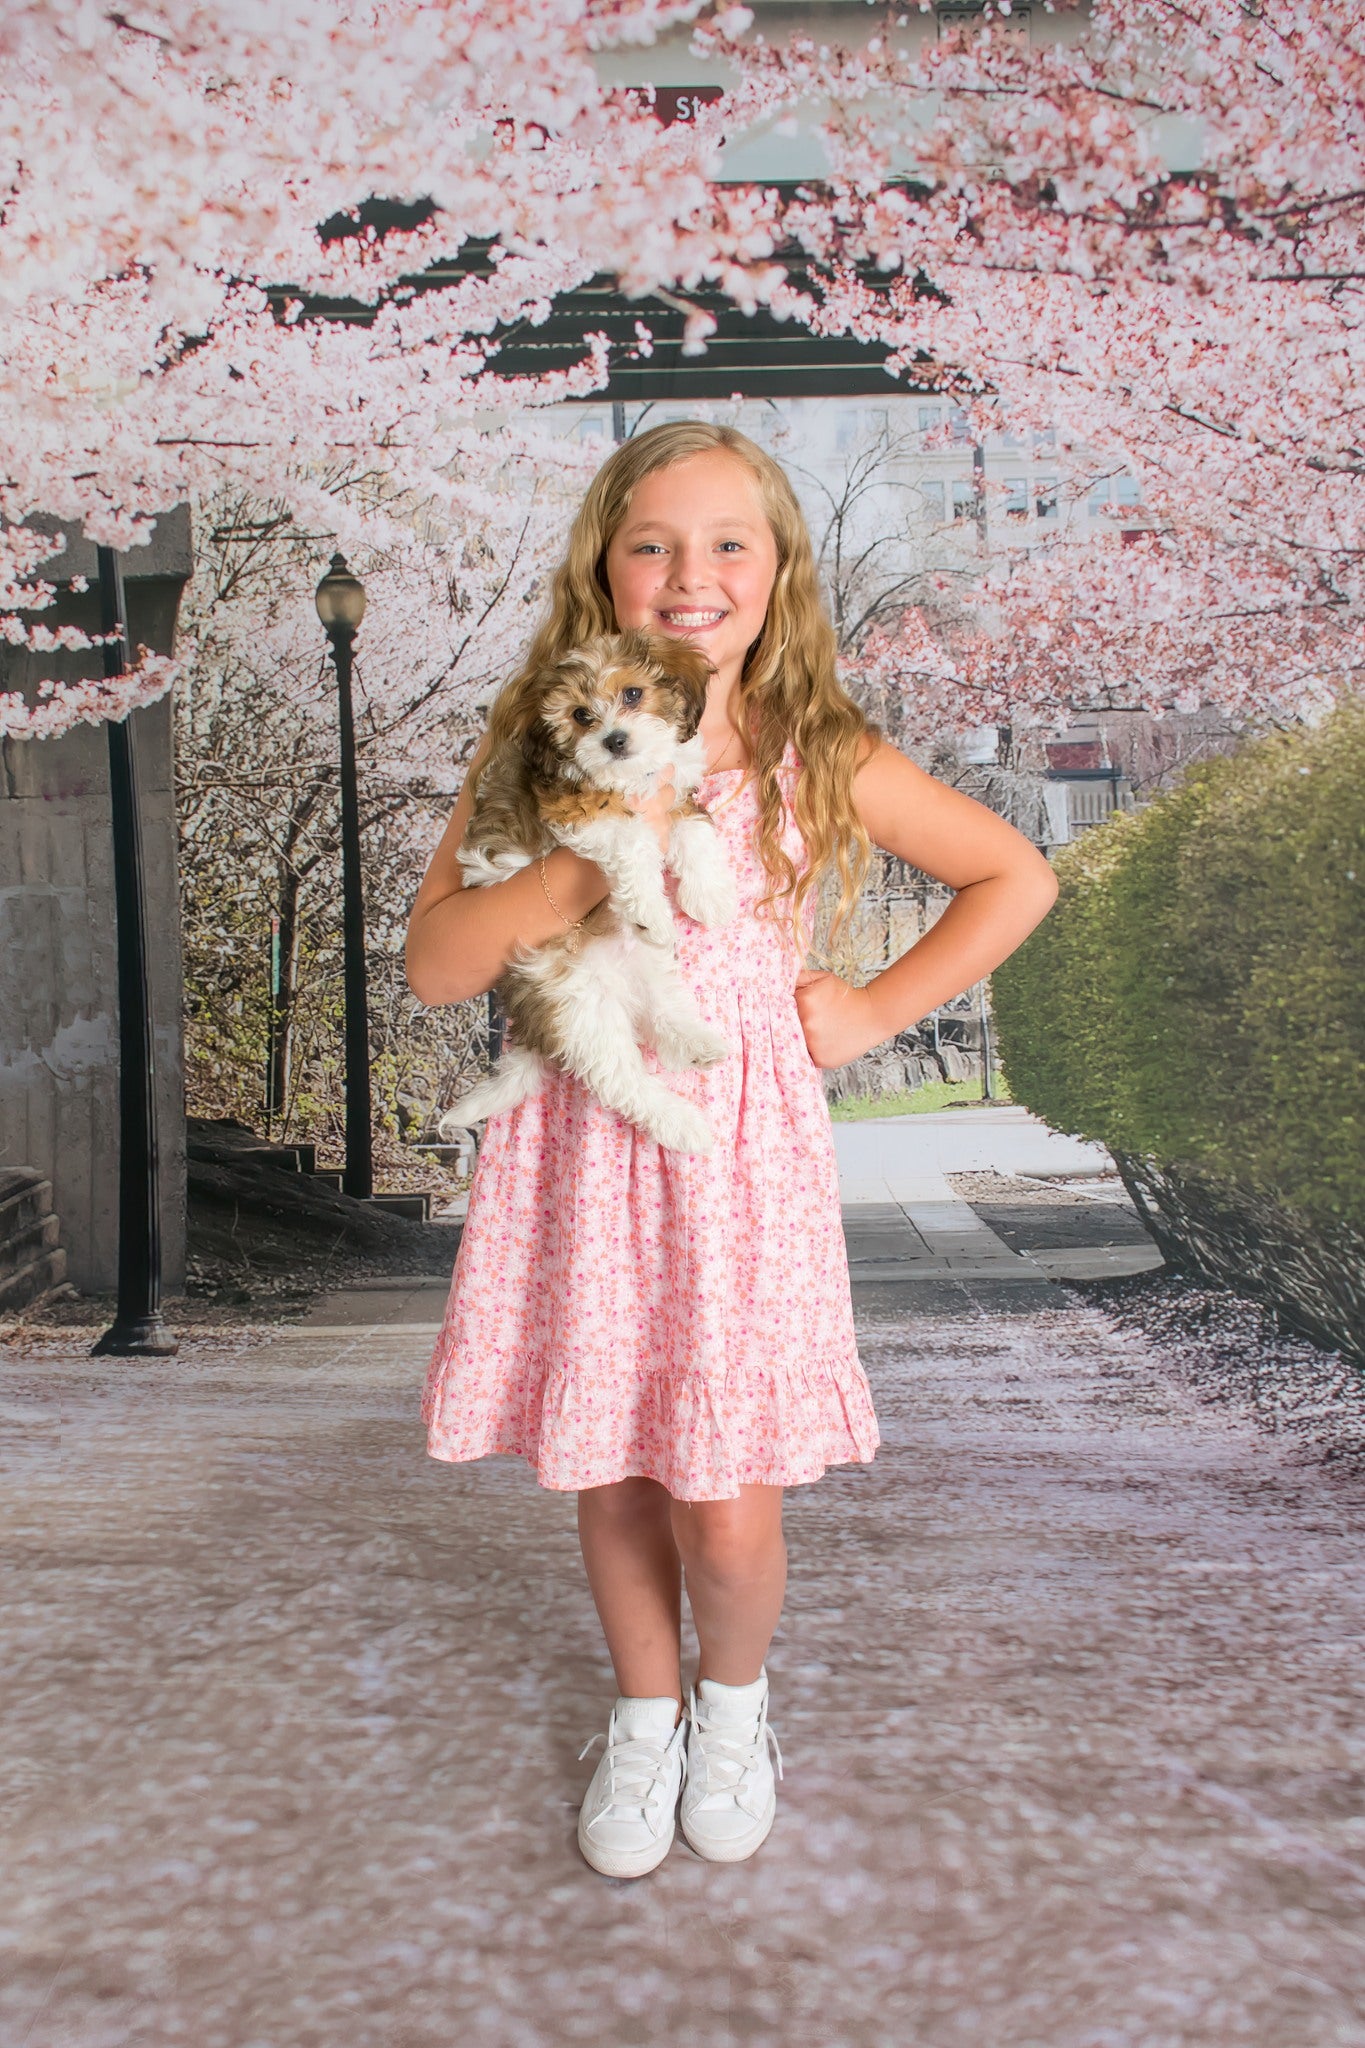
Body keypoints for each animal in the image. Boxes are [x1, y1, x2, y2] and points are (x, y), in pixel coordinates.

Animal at [439, 626, 736, 1155]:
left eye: (633, 694)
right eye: (580, 715)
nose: (614, 740)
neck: (628, 778)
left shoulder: (672, 790)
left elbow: (691, 826)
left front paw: (710, 894)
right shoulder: (577, 811)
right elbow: (633, 836)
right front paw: (651, 905)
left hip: (644, 964)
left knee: (661, 1011)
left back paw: (695, 1042)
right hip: (578, 1007)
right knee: (623, 1081)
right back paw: (683, 1124)